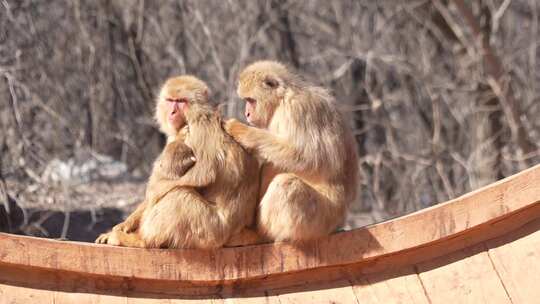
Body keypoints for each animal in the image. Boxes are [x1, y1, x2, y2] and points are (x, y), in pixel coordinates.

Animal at [96, 76, 260, 249]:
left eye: (181, 101)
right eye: (170, 100)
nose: (172, 112)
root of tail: (243, 231)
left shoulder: (200, 125)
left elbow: (203, 174)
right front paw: (125, 224)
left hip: (211, 231)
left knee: (179, 194)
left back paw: (141, 241)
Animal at [226, 61, 360, 242]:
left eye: (250, 100)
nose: (246, 114)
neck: (281, 100)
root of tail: (340, 218)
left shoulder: (298, 109)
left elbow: (312, 159)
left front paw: (241, 131)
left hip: (321, 217)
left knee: (286, 184)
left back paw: (263, 233)